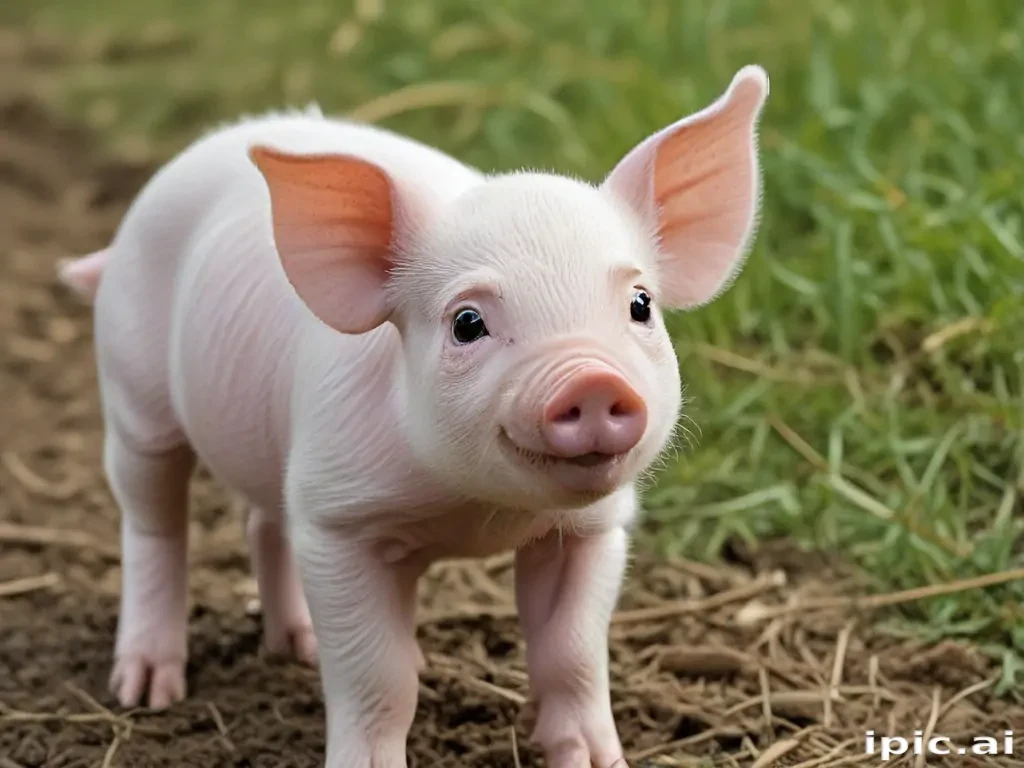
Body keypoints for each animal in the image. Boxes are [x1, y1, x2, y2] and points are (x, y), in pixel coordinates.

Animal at [59, 65, 769, 767]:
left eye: (641, 304)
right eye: (467, 322)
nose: (592, 379)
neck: (473, 512)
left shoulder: (594, 530)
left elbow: (571, 655)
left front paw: (596, 760)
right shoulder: (338, 517)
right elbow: (380, 678)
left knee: (263, 522)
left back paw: (299, 648)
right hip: (134, 395)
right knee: (153, 524)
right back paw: (147, 690)